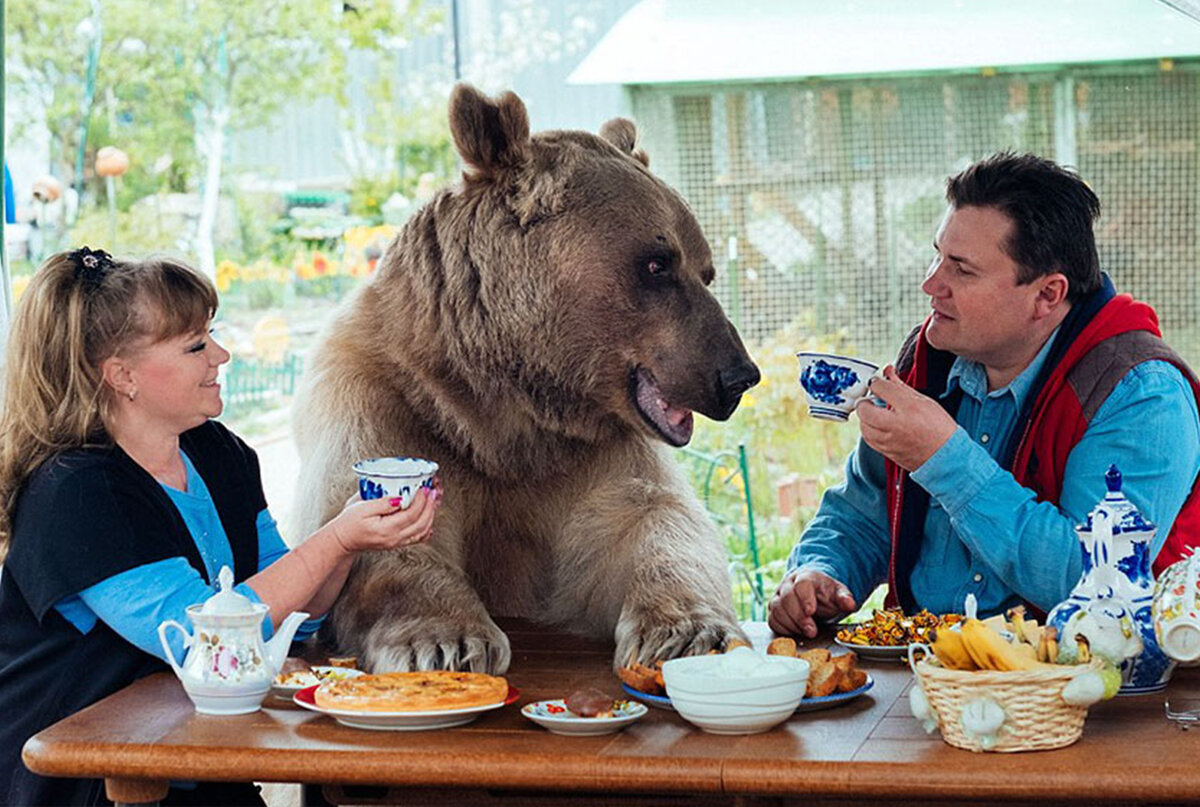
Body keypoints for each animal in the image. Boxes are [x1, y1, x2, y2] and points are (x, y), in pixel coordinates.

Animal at [290, 83, 758, 672]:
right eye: (657, 263)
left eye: (706, 270)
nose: (738, 375)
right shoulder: (385, 401)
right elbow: (373, 528)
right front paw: (446, 641)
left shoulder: (590, 456)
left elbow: (652, 522)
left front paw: (689, 633)